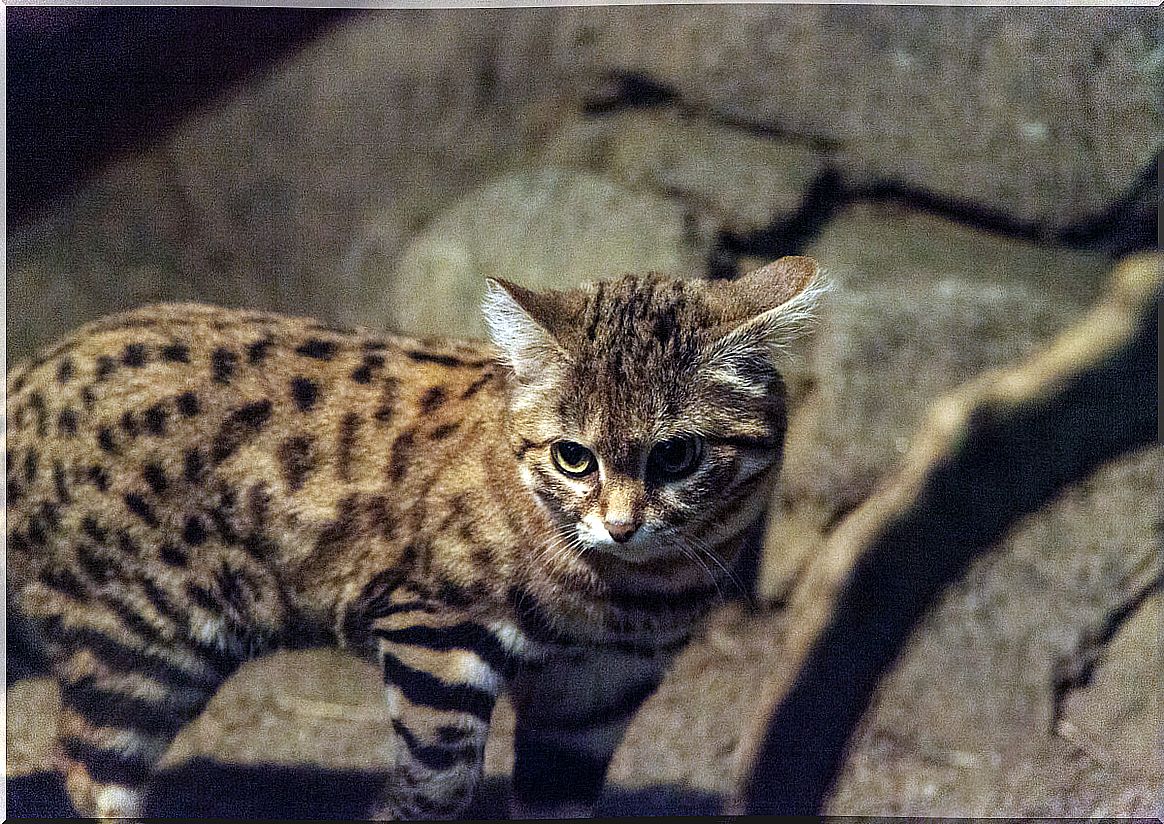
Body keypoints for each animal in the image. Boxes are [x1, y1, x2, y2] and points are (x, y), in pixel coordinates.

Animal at [6, 256, 828, 819]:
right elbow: (437, 784)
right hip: (141, 651)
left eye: (678, 456)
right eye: (574, 456)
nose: (622, 526)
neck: (635, 592)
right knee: (88, 769)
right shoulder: (434, 636)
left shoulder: (597, 693)